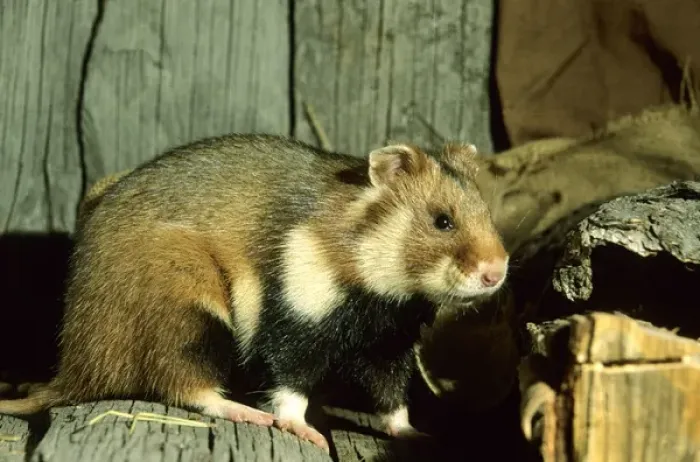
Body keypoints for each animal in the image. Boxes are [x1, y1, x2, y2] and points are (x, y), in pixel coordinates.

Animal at [0, 134, 509, 451]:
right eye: (442, 221)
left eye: (487, 213)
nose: (497, 272)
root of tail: (77, 369)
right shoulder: (297, 314)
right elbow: (289, 386)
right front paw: (303, 431)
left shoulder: (388, 343)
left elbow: (393, 401)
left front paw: (418, 436)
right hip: (189, 306)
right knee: (186, 384)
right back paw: (245, 413)